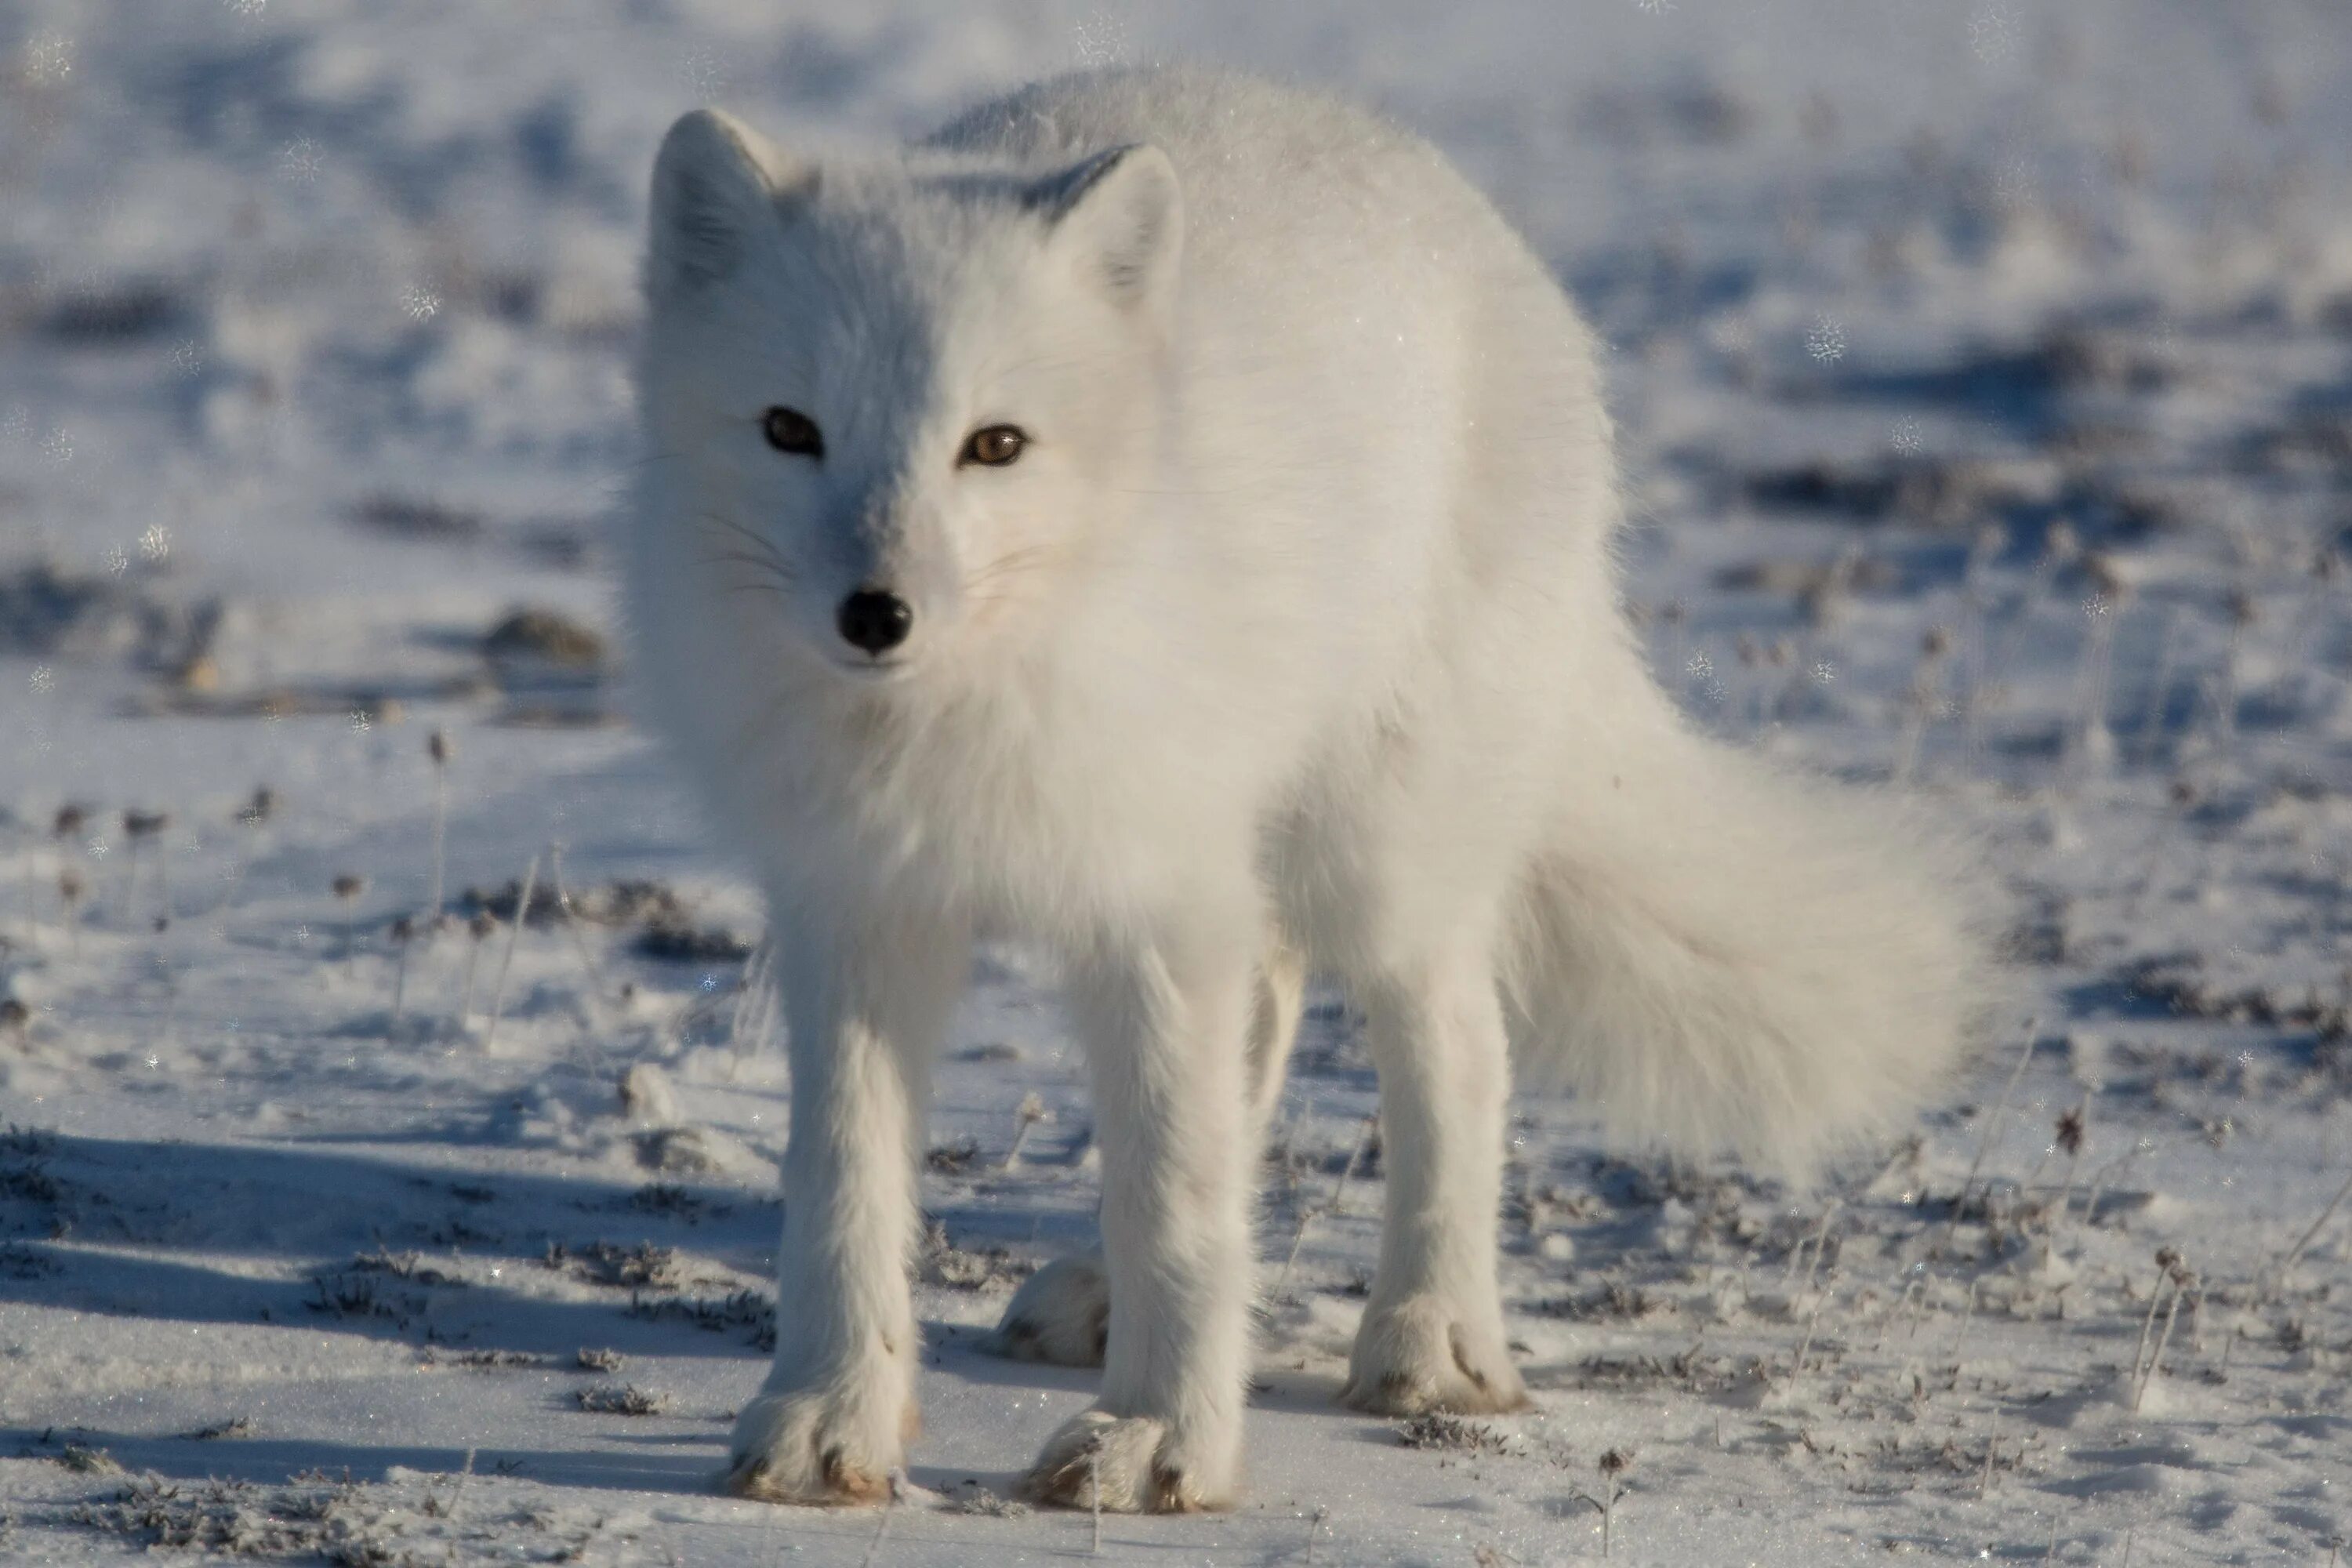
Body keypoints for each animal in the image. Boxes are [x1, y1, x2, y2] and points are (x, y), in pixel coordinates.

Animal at [626, 67, 1985, 1514]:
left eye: (995, 444)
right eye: (790, 430)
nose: (876, 613)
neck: (954, 714)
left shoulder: (1159, 899)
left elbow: (1175, 1194)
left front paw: (1160, 1440)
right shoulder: (856, 905)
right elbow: (842, 1184)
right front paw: (831, 1417)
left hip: (1377, 847)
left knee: (1459, 1043)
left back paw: (1432, 1340)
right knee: (1270, 1019)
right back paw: (1105, 1298)